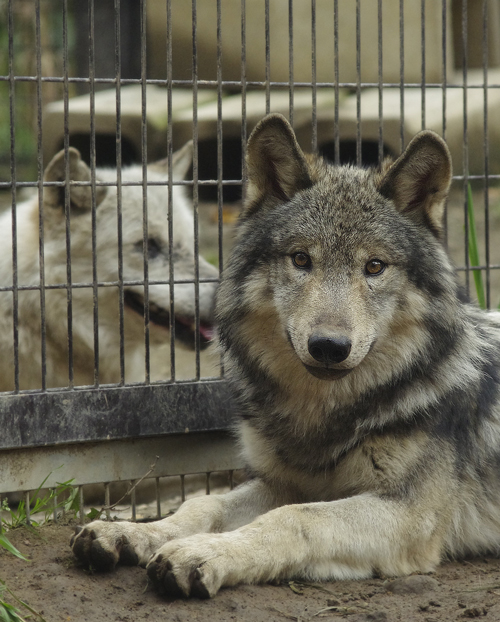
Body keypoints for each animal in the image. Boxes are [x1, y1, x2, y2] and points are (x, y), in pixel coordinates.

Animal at [71, 112, 500, 600]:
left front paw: (201, 554)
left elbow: (294, 518)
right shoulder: (284, 482)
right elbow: (204, 504)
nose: (329, 346)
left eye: (374, 266)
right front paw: (131, 532)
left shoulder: (409, 515)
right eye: (300, 259)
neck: (320, 418)